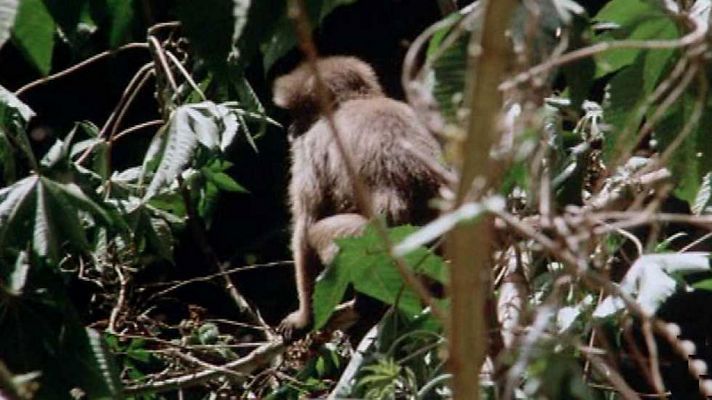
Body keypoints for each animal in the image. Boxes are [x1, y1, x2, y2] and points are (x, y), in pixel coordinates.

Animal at [272, 55, 444, 338]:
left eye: (299, 113)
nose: (292, 129)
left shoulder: (311, 142)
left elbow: (306, 227)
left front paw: (304, 317)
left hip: (367, 243)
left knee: (318, 233)